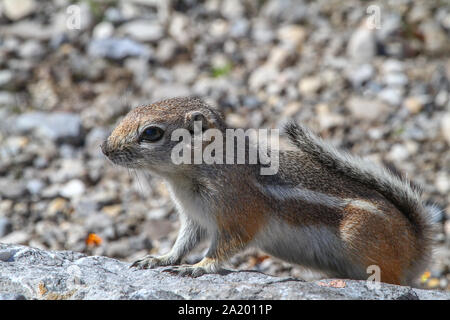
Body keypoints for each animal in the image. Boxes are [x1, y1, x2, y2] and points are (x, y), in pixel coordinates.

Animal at [100, 97, 434, 284]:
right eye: (130, 112)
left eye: (151, 133)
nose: (104, 148)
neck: (184, 177)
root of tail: (417, 247)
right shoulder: (193, 218)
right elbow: (183, 242)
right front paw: (160, 259)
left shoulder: (240, 214)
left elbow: (225, 247)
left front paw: (198, 268)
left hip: (362, 240)